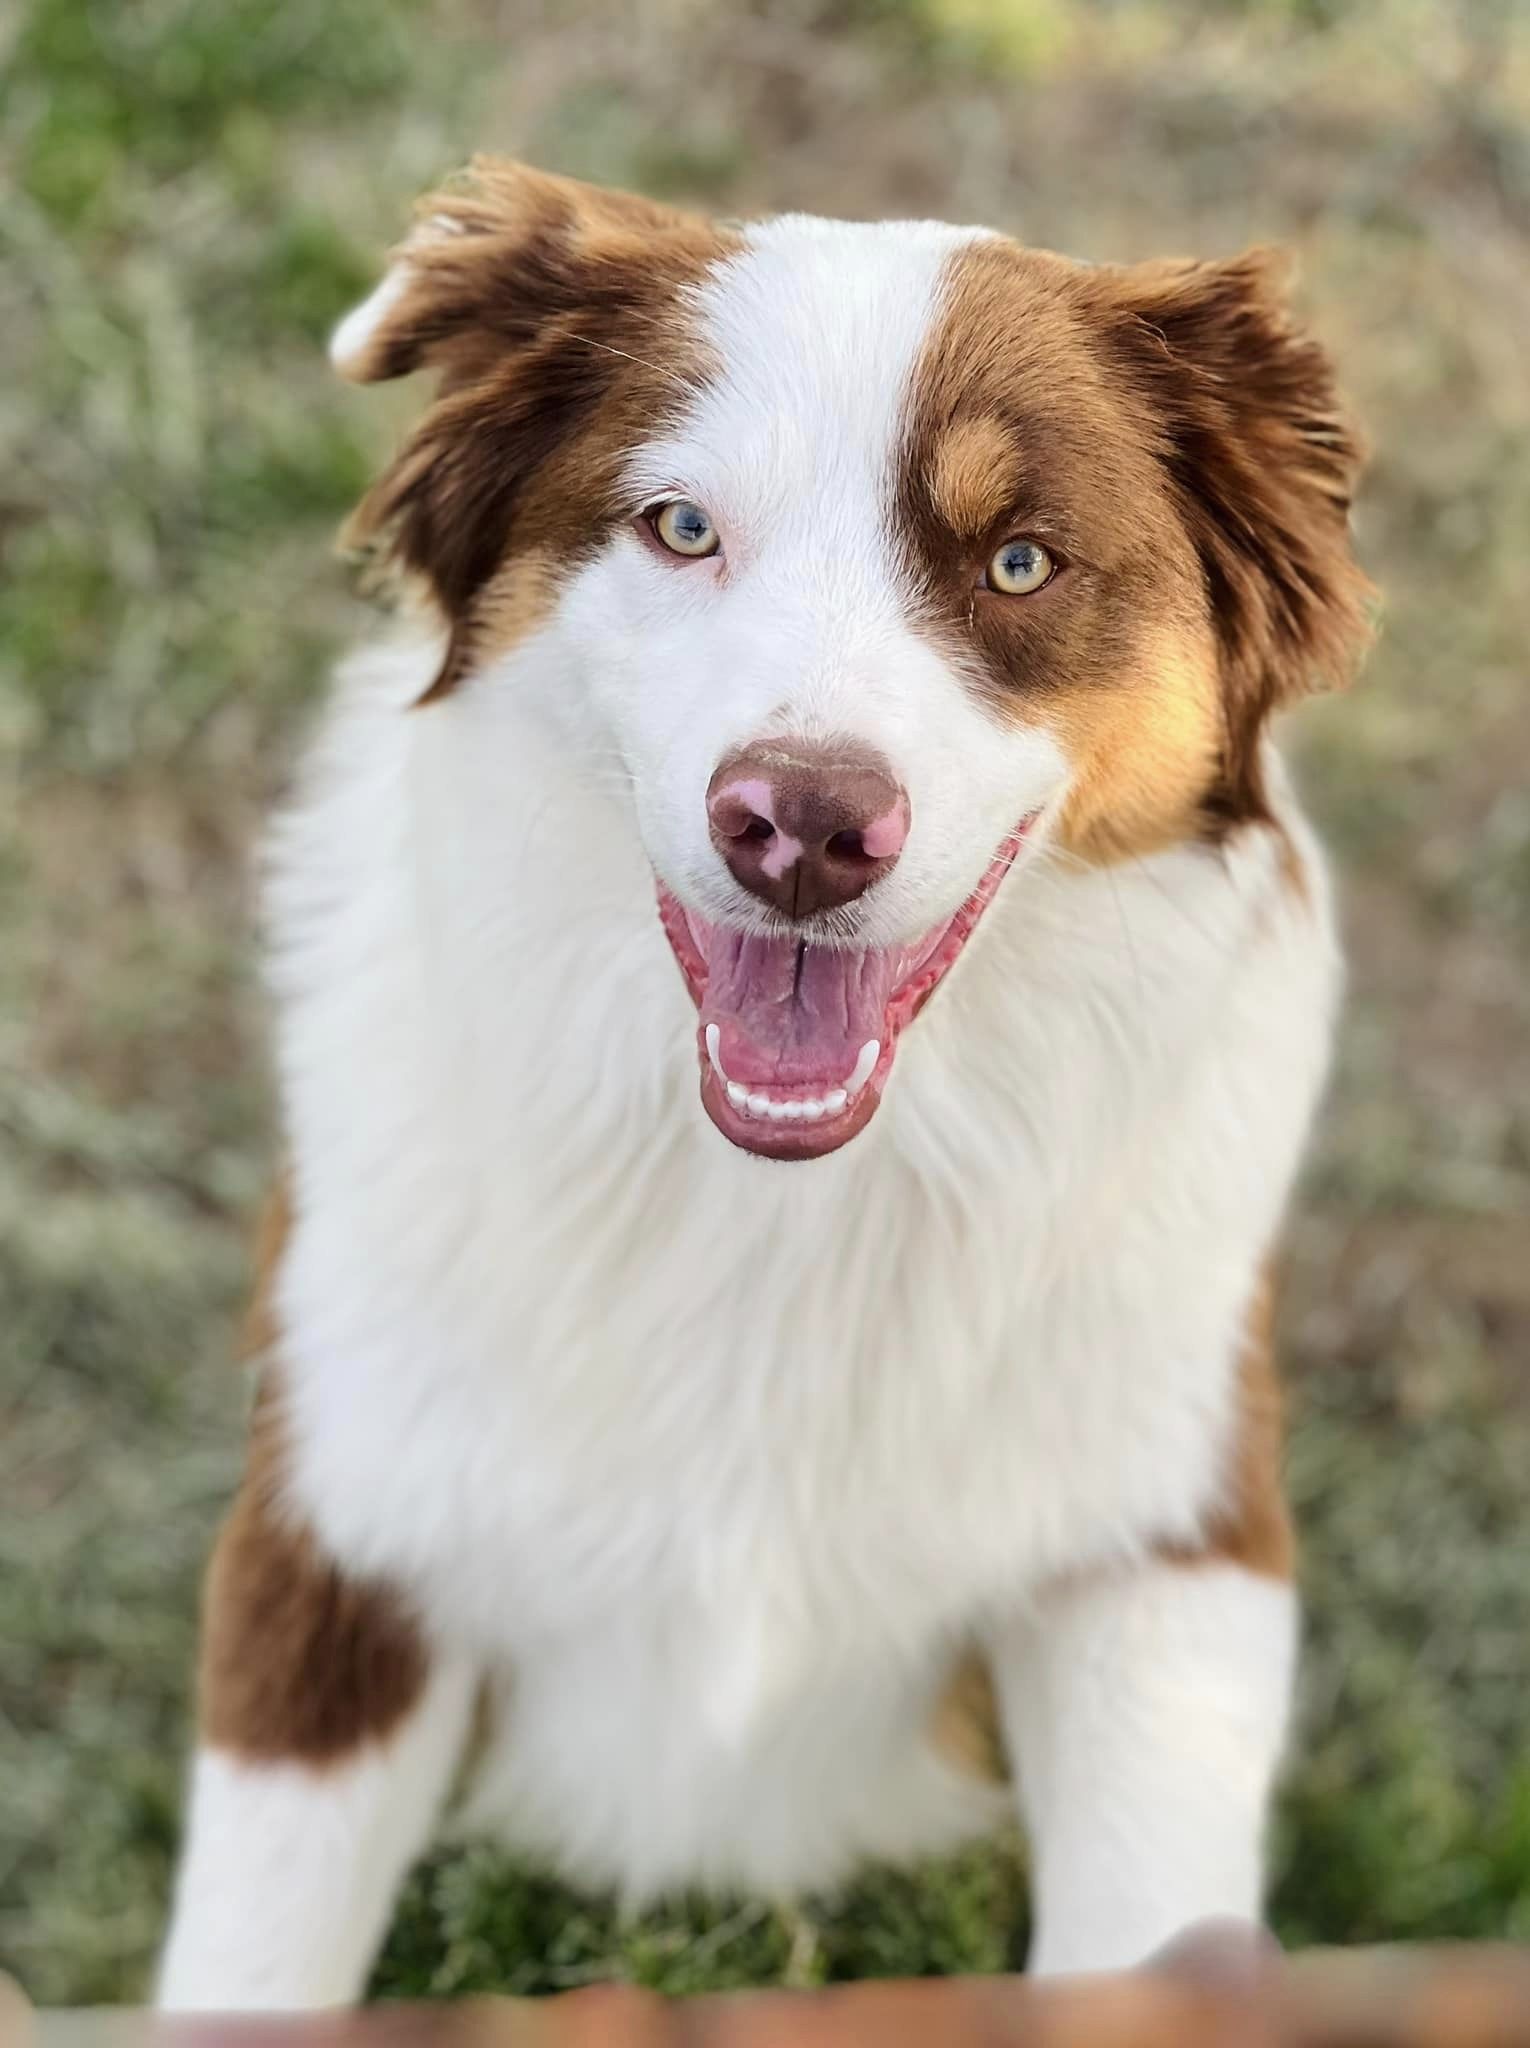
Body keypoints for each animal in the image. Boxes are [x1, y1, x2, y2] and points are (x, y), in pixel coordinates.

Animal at [158, 163, 1376, 2015]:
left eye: (1019, 561)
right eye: (680, 528)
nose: (798, 826)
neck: (780, 1216)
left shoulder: (1168, 1544)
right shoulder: (335, 1536)